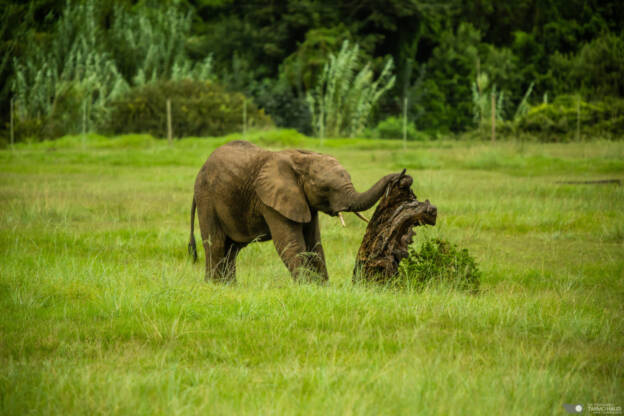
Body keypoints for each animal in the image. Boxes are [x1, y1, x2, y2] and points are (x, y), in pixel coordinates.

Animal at [189, 140, 404, 282]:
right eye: (325, 188)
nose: (402, 176)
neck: (301, 158)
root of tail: (201, 169)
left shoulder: (304, 202)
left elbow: (314, 243)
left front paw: (321, 289)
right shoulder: (271, 201)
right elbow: (290, 243)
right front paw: (306, 287)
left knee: (232, 248)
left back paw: (229, 287)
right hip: (207, 199)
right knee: (216, 243)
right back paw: (215, 286)